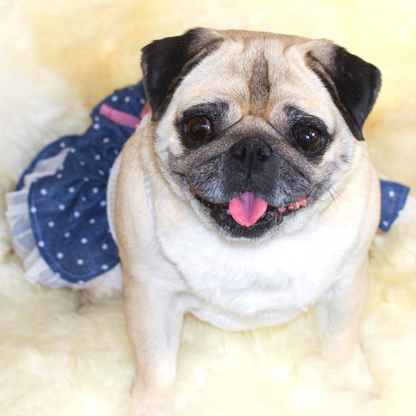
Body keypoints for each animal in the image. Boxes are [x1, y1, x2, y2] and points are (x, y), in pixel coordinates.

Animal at [114, 29, 380, 412]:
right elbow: (156, 363)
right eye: (198, 127)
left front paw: (350, 390)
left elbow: (340, 341)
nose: (252, 148)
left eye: (309, 137)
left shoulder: (346, 285)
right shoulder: (152, 295)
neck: (250, 246)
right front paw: (152, 404)